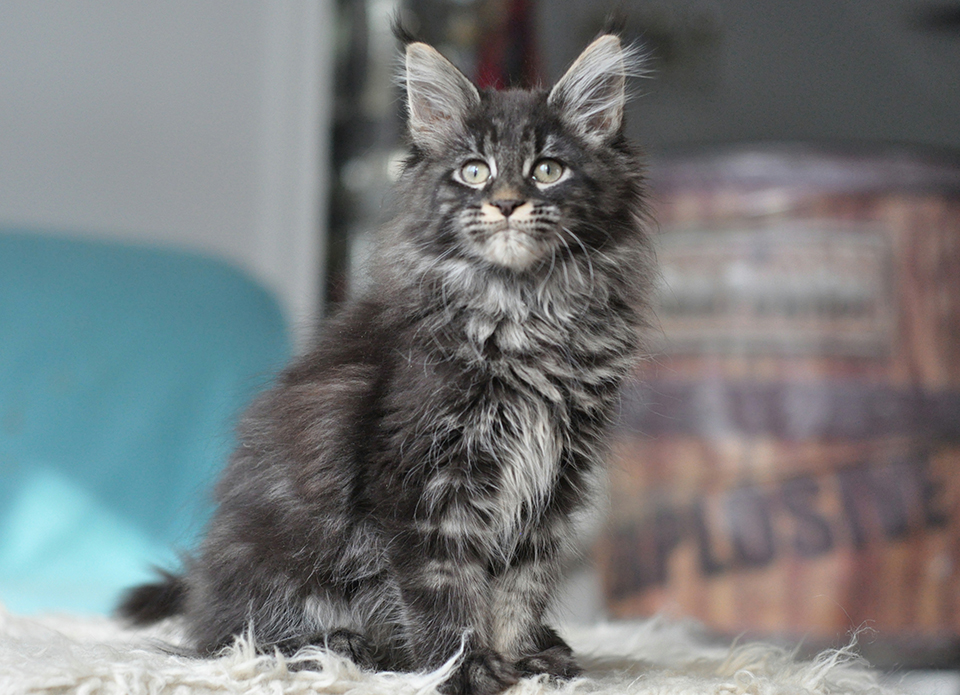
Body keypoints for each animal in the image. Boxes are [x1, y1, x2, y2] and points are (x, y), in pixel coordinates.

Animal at [118, 32, 652, 695]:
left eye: (547, 170)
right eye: (474, 171)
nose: (506, 204)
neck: (524, 311)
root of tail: (202, 588)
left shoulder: (554, 479)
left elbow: (520, 583)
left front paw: (522, 661)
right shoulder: (419, 480)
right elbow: (444, 589)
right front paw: (466, 668)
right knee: (237, 638)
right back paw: (339, 647)